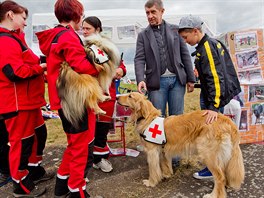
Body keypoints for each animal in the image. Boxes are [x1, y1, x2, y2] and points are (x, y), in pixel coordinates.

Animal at [117, 92, 245, 198]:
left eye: (130, 96)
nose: (117, 97)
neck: (148, 118)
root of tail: (226, 120)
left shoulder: (152, 151)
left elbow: (153, 169)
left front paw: (151, 182)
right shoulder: (163, 151)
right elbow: (165, 164)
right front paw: (167, 174)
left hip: (208, 154)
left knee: (220, 177)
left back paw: (213, 195)